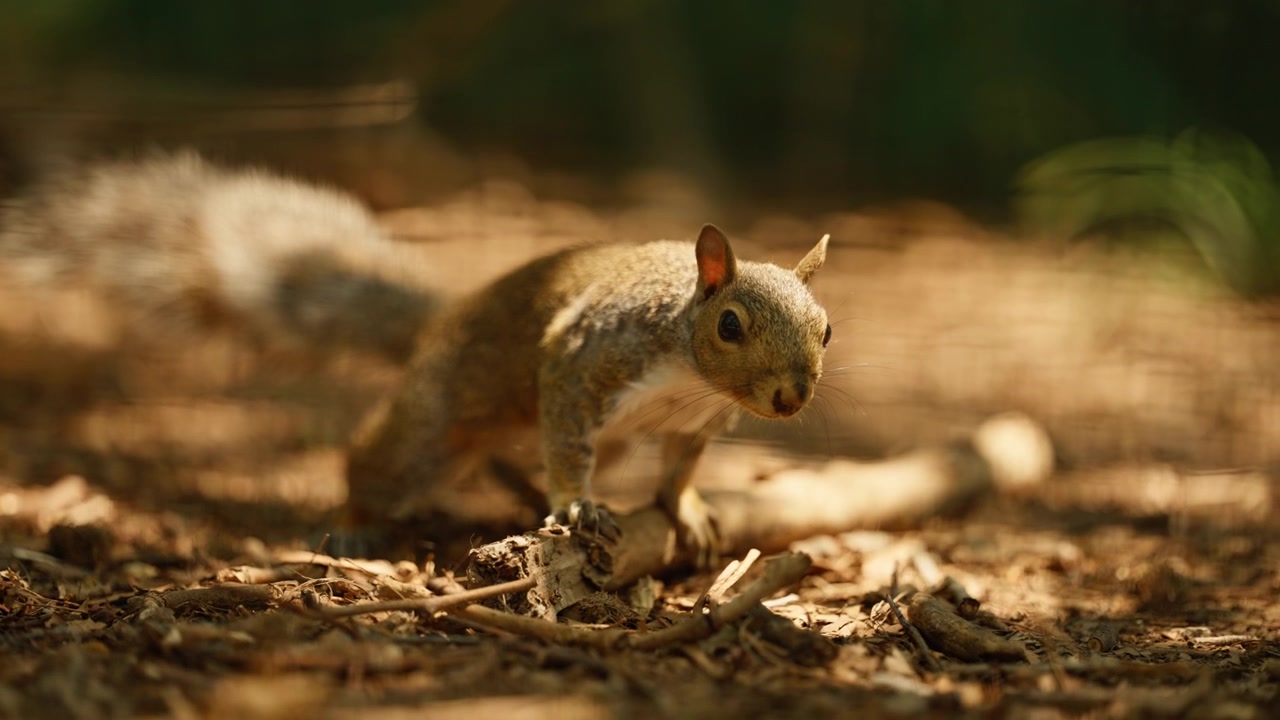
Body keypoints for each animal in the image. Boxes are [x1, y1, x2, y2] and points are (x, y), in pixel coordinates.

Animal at [1, 153, 832, 564]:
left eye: (826, 330)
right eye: (730, 325)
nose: (792, 397)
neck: (688, 379)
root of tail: (441, 327)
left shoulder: (693, 424)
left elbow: (680, 469)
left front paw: (684, 508)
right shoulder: (585, 356)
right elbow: (568, 436)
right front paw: (576, 504)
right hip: (431, 429)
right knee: (378, 460)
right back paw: (357, 524)